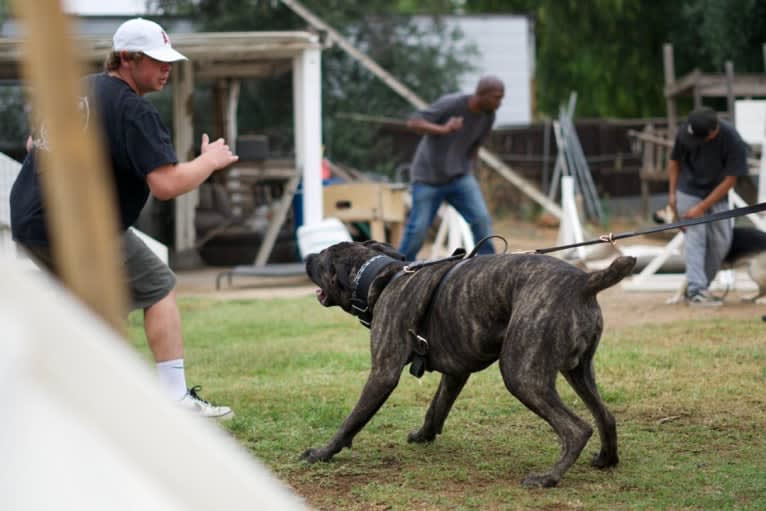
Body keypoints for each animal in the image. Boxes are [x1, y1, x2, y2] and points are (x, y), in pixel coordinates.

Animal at [304, 240, 636, 488]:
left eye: (321, 259)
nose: (306, 256)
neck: (384, 277)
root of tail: (583, 281)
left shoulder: (382, 374)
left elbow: (351, 421)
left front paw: (323, 452)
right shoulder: (456, 372)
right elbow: (436, 408)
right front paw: (424, 436)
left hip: (522, 376)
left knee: (576, 429)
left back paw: (548, 478)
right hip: (579, 372)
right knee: (605, 416)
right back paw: (607, 459)